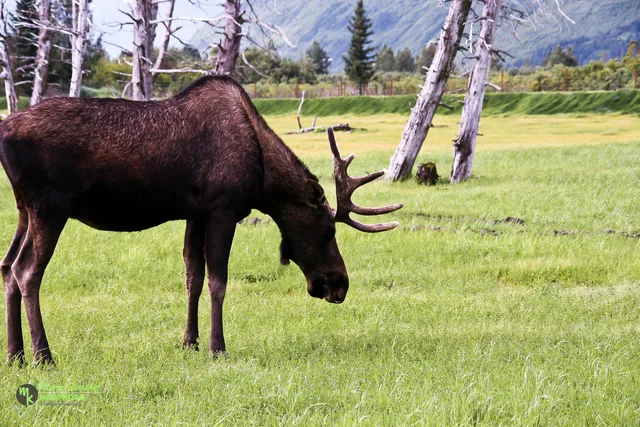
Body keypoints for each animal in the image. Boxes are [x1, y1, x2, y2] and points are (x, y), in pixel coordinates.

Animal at [0, 76, 402, 365]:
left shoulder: (195, 213)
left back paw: (15, 354)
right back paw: (42, 355)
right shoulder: (223, 208)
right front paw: (217, 347)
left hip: (23, 210)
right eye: (328, 229)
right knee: (27, 271)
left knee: (7, 267)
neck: (263, 181)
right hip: (50, 208)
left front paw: (189, 342)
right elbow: (217, 281)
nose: (339, 285)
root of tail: (4, 132)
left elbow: (192, 278)